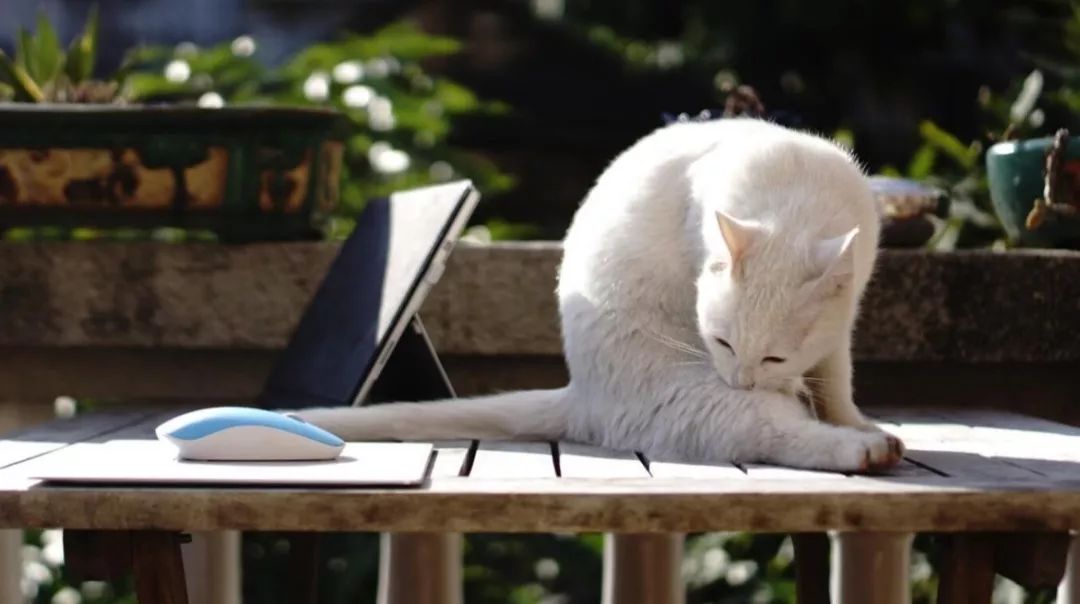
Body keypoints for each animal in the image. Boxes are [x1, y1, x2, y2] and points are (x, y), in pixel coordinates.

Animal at [295, 115, 902, 471]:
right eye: (721, 342)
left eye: (774, 355)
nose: (741, 379)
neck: (795, 198)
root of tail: (582, 393)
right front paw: (851, 429)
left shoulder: (839, 328)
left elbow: (836, 382)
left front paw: (853, 417)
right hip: (701, 400)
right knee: (773, 433)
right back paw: (862, 452)